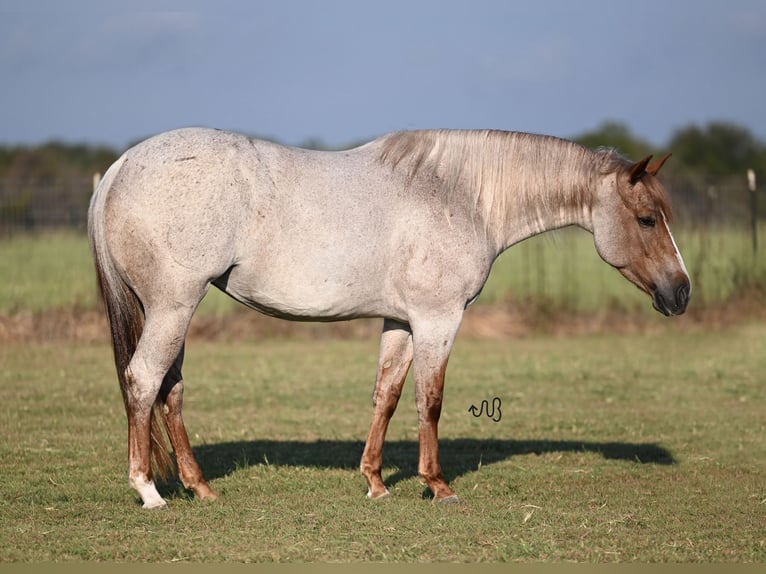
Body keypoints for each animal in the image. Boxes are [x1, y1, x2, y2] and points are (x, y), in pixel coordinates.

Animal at [87, 127, 692, 508]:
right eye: (646, 219)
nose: (682, 292)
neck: (459, 194)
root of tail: (120, 167)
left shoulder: (401, 322)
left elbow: (388, 395)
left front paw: (376, 483)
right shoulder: (437, 319)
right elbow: (431, 399)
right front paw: (438, 486)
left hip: (173, 311)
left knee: (170, 390)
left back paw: (201, 488)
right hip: (173, 306)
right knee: (143, 381)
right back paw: (149, 491)